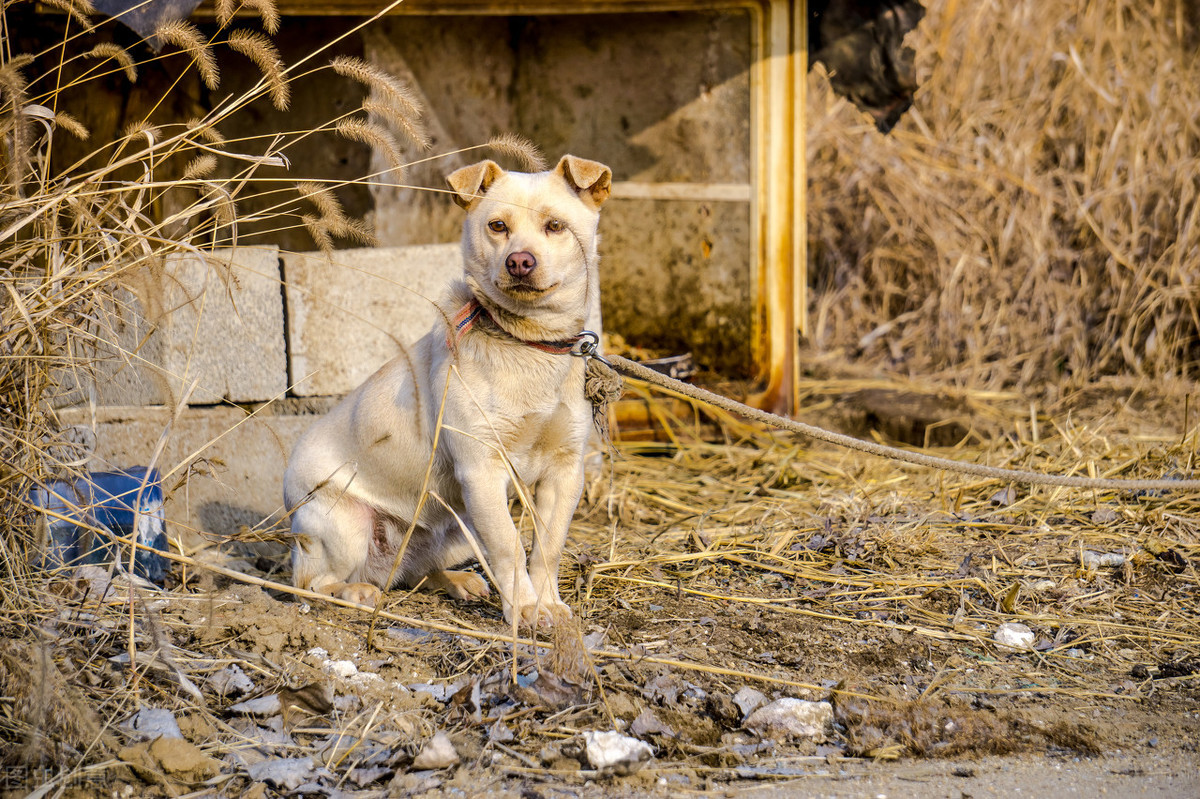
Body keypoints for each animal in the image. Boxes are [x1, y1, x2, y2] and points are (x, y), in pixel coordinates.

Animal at [280, 152, 609, 623]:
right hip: (347, 526)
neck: (528, 343)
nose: (520, 262)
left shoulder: (565, 472)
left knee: (416, 573)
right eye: (497, 226)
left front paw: (549, 605)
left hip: (458, 525)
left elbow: (546, 548)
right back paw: (356, 592)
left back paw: (457, 581)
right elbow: (510, 547)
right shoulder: (482, 471)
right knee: (311, 584)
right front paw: (526, 609)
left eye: (555, 226)